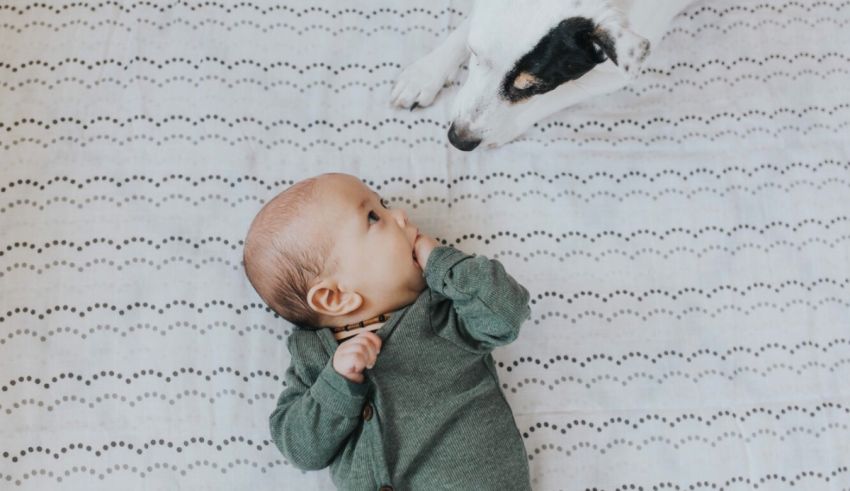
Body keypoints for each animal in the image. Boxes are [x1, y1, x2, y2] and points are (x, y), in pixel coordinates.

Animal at [390, 0, 696, 150]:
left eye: (534, 87)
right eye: (474, 53)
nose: (458, 140)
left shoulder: (618, 73)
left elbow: (556, 97)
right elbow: (466, 29)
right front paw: (425, 74)